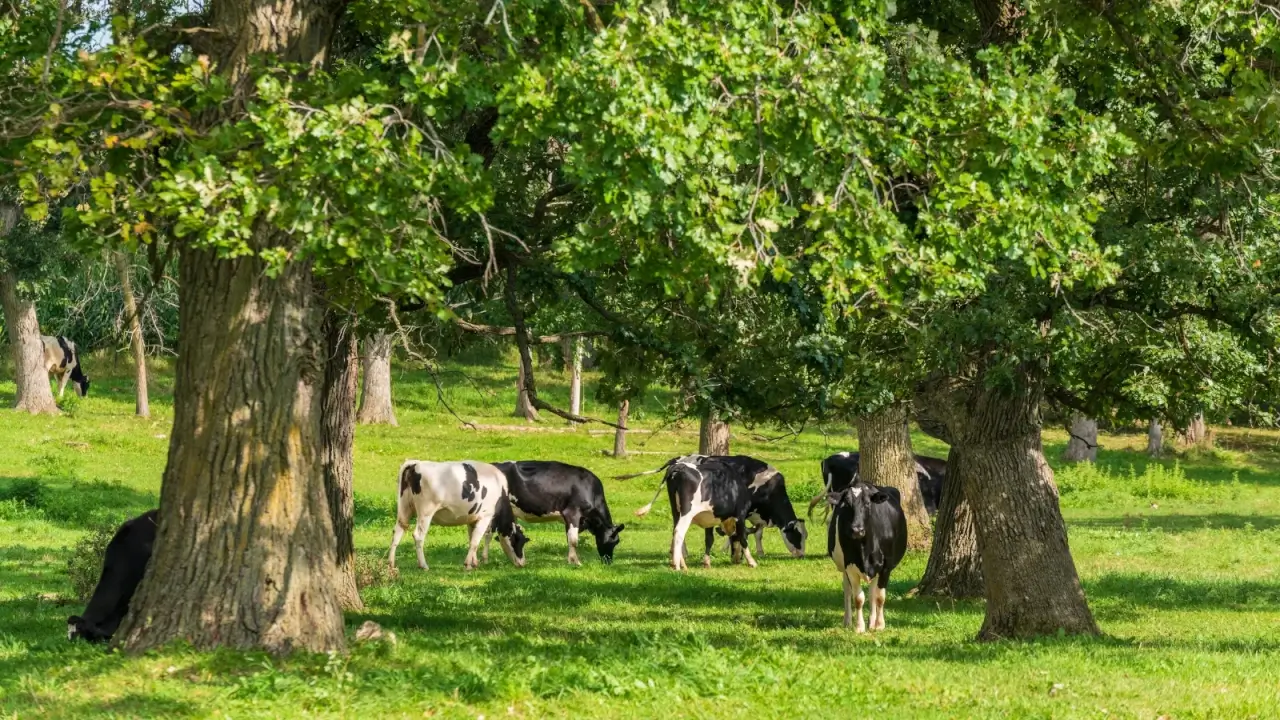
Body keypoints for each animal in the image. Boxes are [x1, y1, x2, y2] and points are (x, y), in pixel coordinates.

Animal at [389, 460, 529, 571]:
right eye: (518, 541)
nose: (522, 563)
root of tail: (415, 463)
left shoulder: (472, 518)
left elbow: (472, 539)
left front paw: (474, 563)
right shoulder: (485, 517)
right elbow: (475, 541)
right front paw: (467, 565)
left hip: (404, 508)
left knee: (398, 531)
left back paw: (391, 563)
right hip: (426, 511)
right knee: (418, 536)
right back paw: (423, 565)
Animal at [488, 460, 625, 566]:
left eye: (617, 542)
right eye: (614, 541)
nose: (608, 562)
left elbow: (569, 539)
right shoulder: (572, 512)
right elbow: (574, 540)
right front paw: (576, 563)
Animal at [828, 481, 907, 632]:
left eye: (867, 503)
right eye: (846, 504)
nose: (856, 530)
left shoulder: (886, 566)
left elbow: (879, 597)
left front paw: (879, 625)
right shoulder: (850, 565)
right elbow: (858, 598)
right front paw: (859, 627)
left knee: (872, 592)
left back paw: (872, 622)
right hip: (842, 566)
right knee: (847, 590)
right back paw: (847, 621)